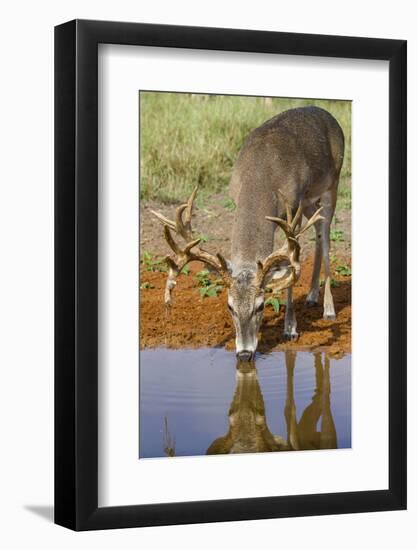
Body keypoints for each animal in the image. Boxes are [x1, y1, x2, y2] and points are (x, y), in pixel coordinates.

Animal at [151, 106, 342, 362]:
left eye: (261, 306)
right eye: (229, 306)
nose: (244, 353)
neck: (261, 175)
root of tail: (326, 113)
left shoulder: (293, 207)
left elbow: (291, 265)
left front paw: (290, 329)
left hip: (332, 184)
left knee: (326, 237)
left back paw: (328, 310)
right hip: (312, 201)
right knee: (319, 235)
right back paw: (312, 296)